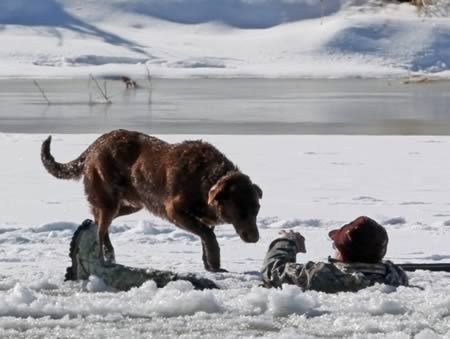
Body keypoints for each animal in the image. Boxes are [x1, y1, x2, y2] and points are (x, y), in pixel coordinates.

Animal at [41, 129, 264, 272]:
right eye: (240, 211)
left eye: (256, 210)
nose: (255, 238)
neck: (207, 178)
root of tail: (95, 145)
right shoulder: (174, 211)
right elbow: (208, 236)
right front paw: (215, 262)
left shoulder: (205, 218)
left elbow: (206, 237)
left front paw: (210, 266)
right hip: (109, 202)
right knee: (100, 228)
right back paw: (103, 259)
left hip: (132, 204)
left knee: (99, 222)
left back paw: (109, 253)